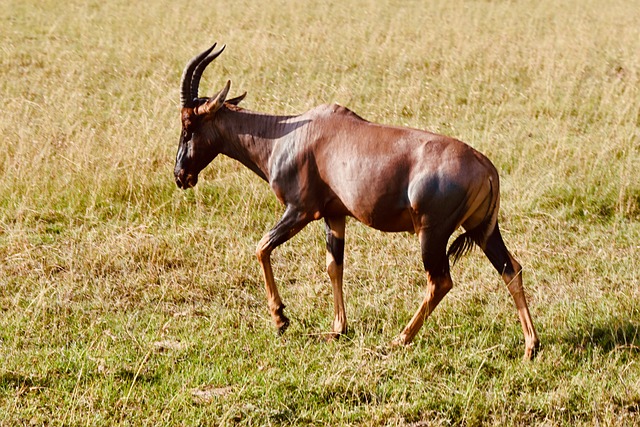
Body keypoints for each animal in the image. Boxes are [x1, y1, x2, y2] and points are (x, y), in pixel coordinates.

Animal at [174, 43, 540, 360]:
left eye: (188, 123)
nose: (180, 176)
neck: (290, 134)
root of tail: (486, 167)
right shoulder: (334, 216)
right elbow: (334, 266)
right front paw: (337, 329)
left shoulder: (300, 211)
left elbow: (262, 246)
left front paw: (280, 319)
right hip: (482, 229)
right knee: (511, 269)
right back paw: (531, 347)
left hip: (432, 234)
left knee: (440, 281)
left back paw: (400, 339)